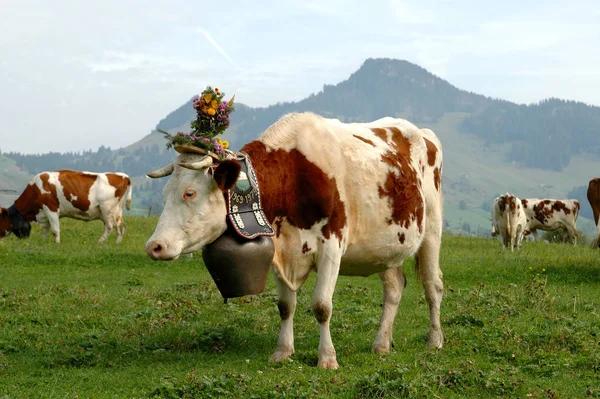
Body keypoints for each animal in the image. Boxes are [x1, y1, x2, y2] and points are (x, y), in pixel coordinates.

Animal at [0, 170, 132, 244]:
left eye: (1, 220)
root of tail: (124, 176)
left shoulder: (51, 208)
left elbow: (55, 230)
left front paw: (57, 244)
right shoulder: (45, 213)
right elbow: (45, 229)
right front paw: (43, 242)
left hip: (106, 208)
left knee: (110, 226)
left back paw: (100, 242)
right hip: (117, 211)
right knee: (120, 226)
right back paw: (117, 243)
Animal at [146, 111, 446, 368]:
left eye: (189, 193)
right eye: (165, 193)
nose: (154, 246)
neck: (292, 176)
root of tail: (423, 132)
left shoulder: (332, 246)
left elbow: (322, 306)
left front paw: (327, 358)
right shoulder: (280, 247)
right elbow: (285, 306)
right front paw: (282, 352)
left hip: (432, 229)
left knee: (433, 285)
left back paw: (434, 341)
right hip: (387, 245)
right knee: (394, 287)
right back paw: (382, 344)